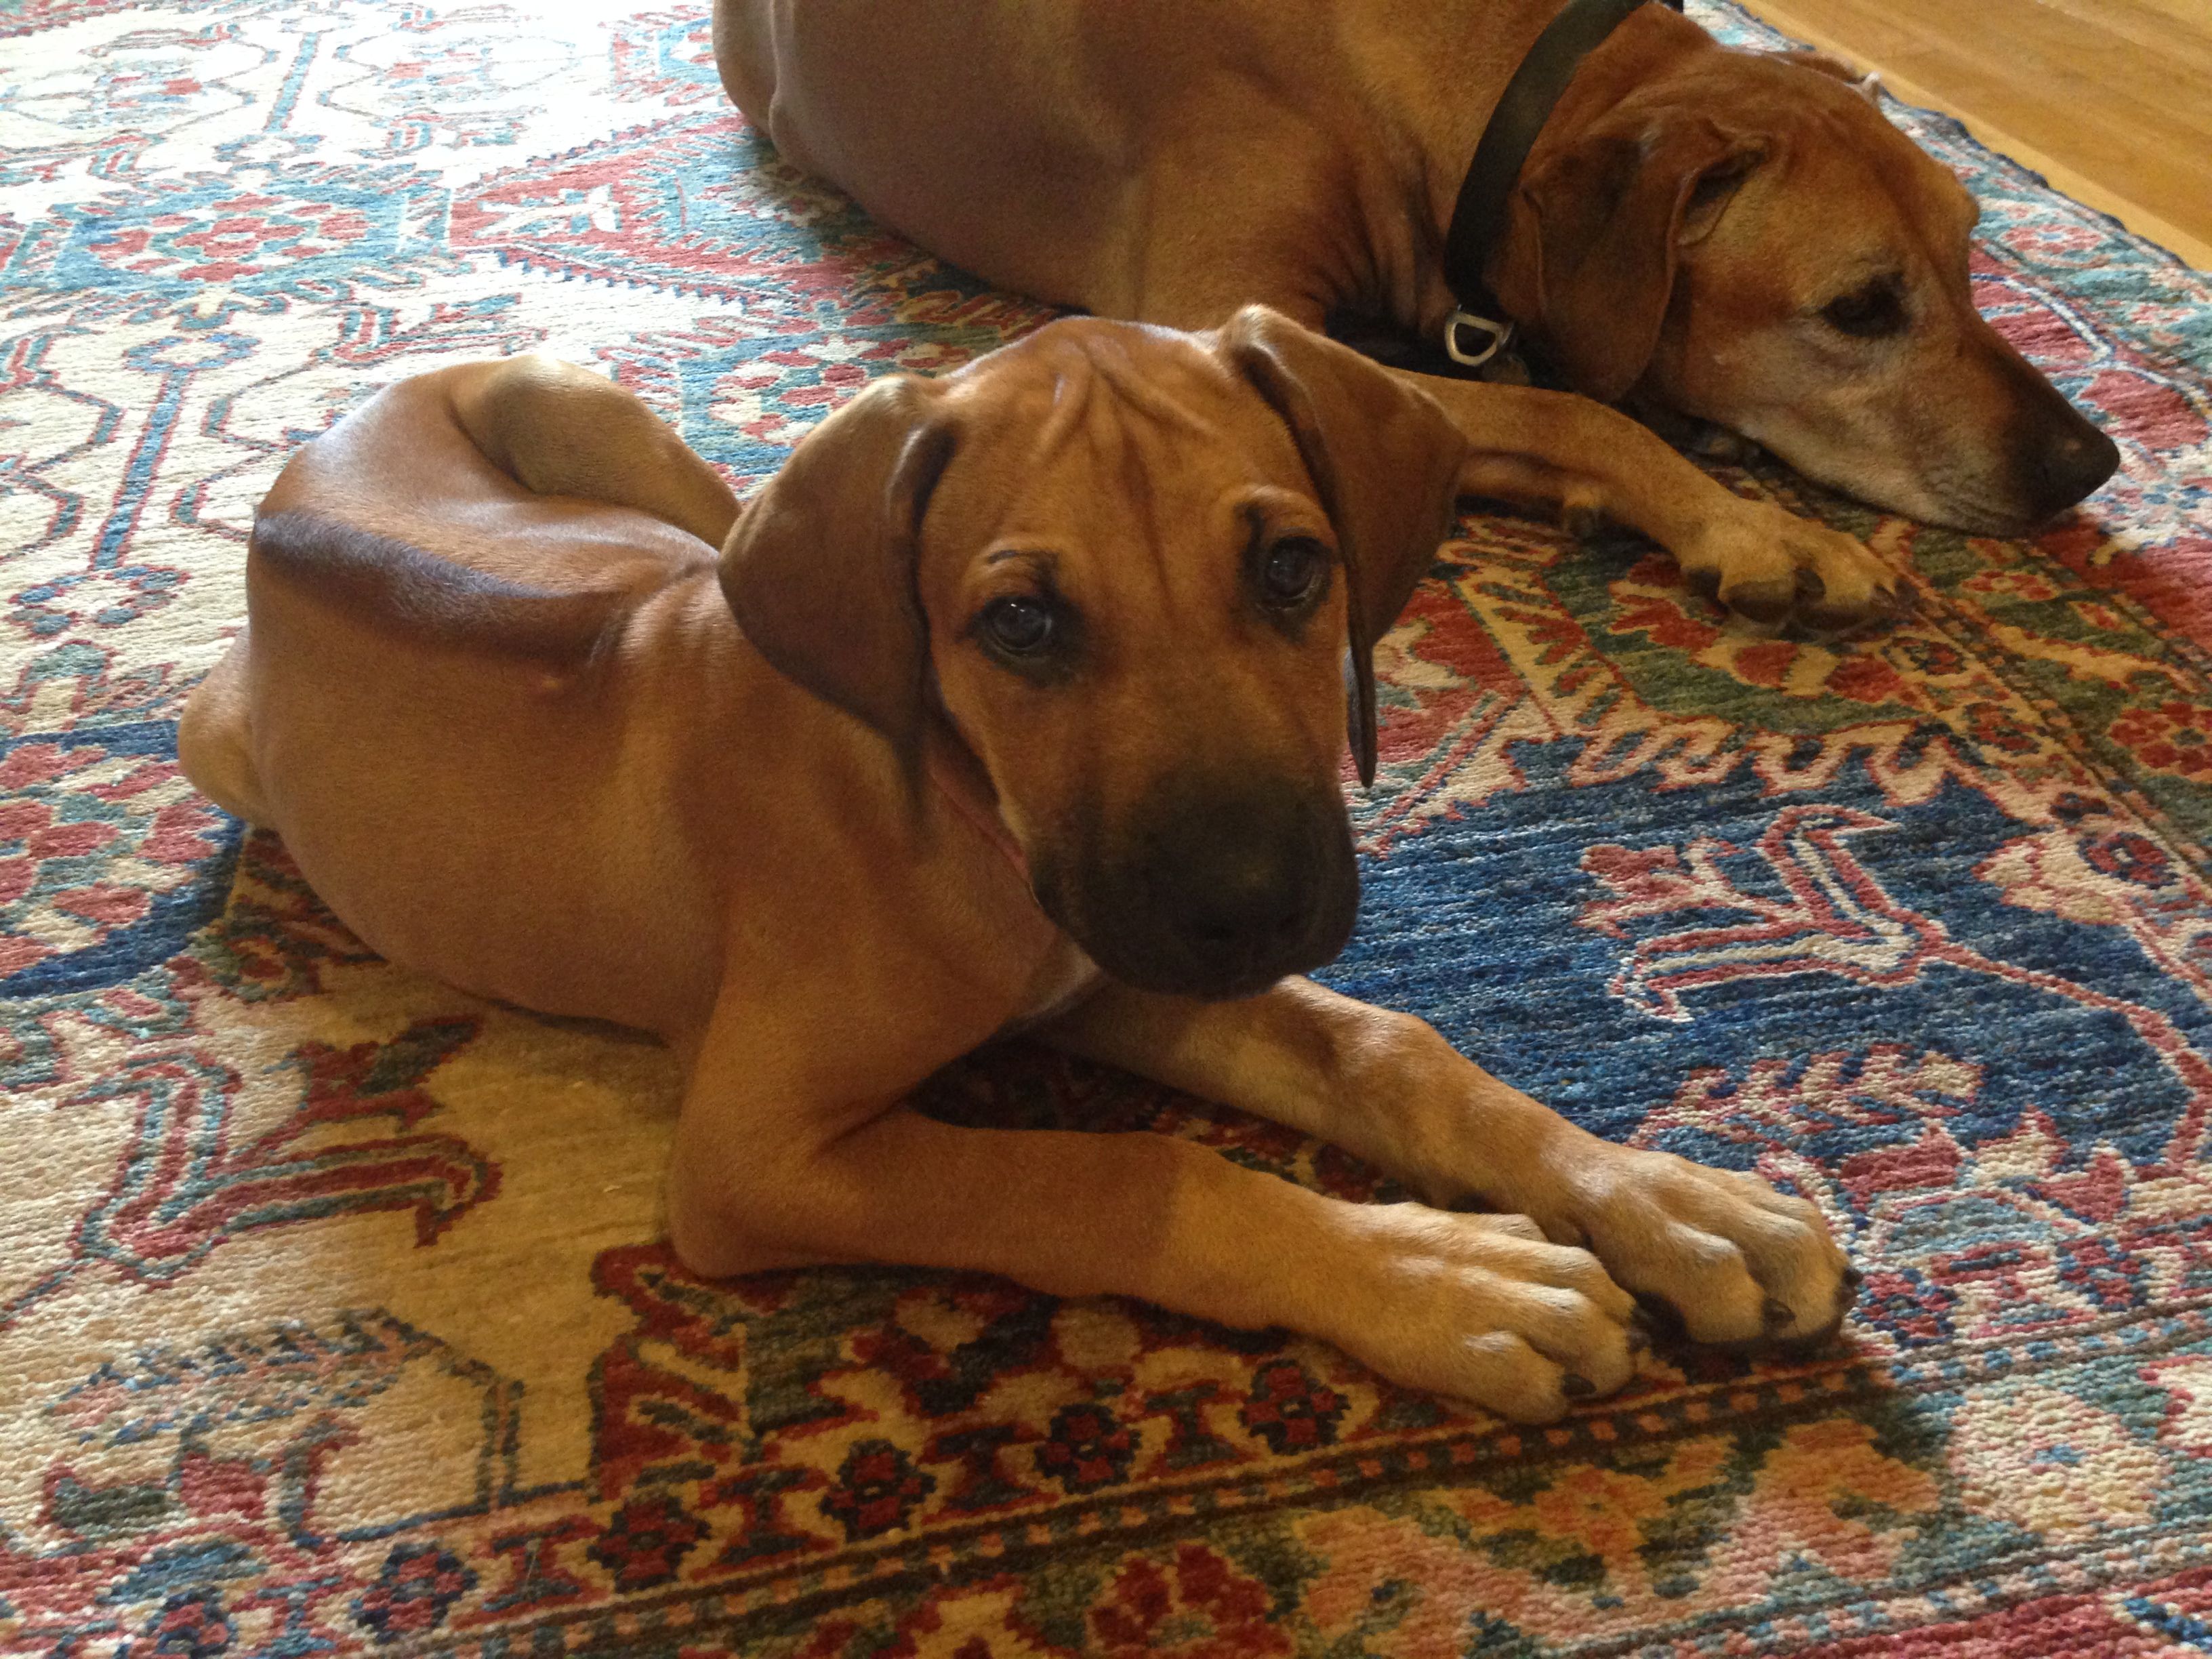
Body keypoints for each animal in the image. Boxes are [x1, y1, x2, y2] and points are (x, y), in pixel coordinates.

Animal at [178, 310, 1855, 1424]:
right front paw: (1447, 1283)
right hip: (231, 733)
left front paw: (1670, 1203)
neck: (953, 808)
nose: (1251, 907)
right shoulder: (756, 1156)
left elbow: (1397, 1052)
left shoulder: (1106, 963)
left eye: (1292, 570)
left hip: (621, 439)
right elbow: (1129, 1173)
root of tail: (318, 448)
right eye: (1023, 626)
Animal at [711, 0, 2120, 627]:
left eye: (1971, 253)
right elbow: (1571, 409)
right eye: (1860, 304)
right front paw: (1753, 526)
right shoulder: (1205, 331)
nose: (2090, 461)